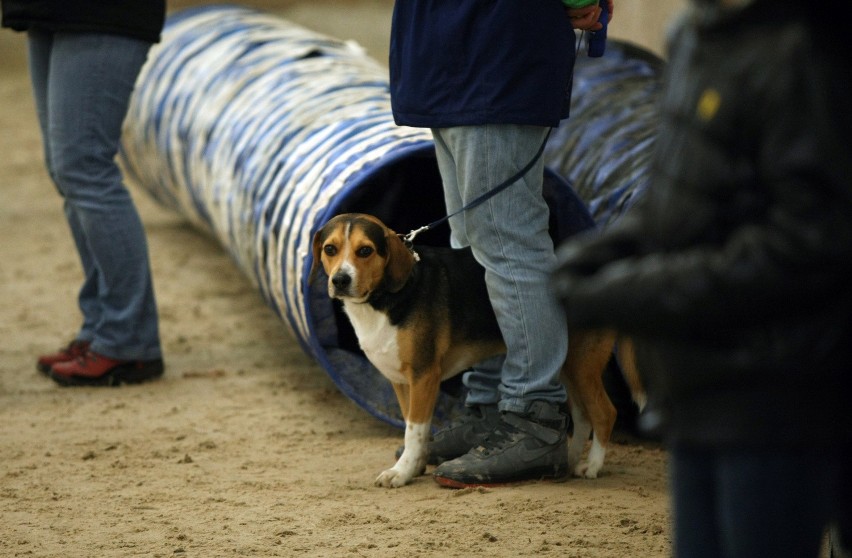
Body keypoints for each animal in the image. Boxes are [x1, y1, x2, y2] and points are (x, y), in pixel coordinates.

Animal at [310, 214, 644, 490]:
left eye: (365, 251)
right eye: (330, 249)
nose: (340, 280)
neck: (386, 297)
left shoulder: (423, 376)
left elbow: (414, 432)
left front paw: (401, 472)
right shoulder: (403, 382)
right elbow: (412, 428)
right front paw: (413, 467)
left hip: (581, 363)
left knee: (604, 413)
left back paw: (592, 466)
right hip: (567, 365)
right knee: (583, 416)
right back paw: (570, 461)